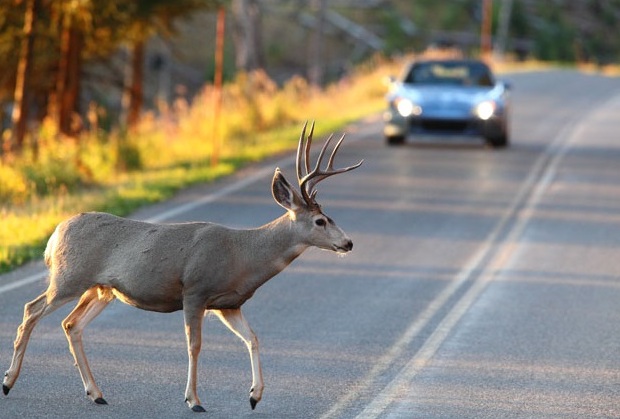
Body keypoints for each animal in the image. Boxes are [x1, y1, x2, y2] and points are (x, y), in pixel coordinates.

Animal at [2, 121, 364, 414]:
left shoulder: (229, 303)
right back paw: (8, 382)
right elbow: (195, 345)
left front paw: (254, 396)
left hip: (101, 288)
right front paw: (194, 400)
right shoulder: (195, 290)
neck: (243, 255)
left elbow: (253, 338)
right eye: (320, 221)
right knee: (31, 309)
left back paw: (96, 393)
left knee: (71, 324)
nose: (348, 243)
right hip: (69, 276)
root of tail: (54, 235)